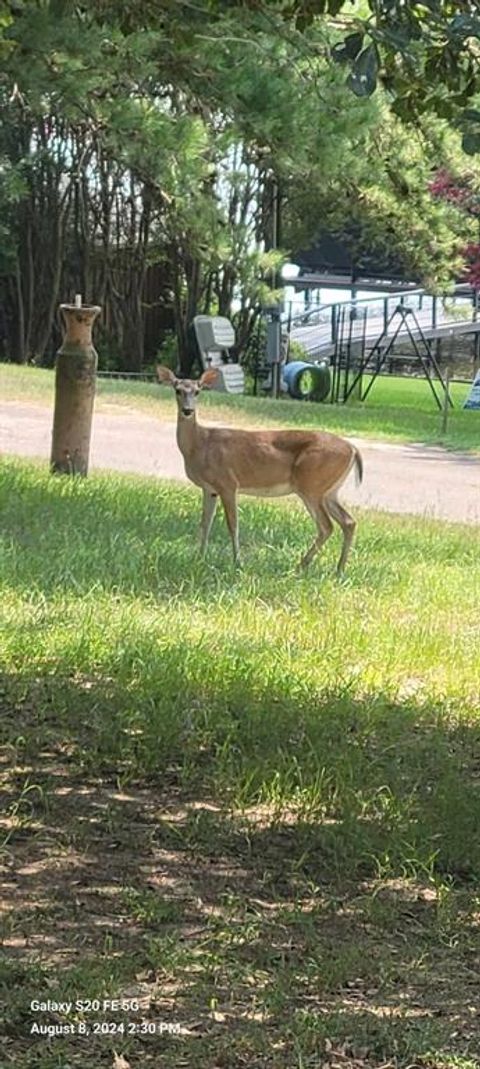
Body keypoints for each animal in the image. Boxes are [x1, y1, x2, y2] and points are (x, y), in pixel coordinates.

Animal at [157, 363, 363, 572]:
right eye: (177, 390)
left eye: (197, 391)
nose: (187, 410)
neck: (200, 445)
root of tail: (353, 449)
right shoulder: (210, 489)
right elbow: (205, 523)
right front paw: (199, 558)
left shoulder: (228, 483)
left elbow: (233, 524)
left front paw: (237, 562)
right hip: (329, 490)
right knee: (348, 521)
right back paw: (339, 569)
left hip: (311, 485)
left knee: (326, 526)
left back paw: (301, 566)